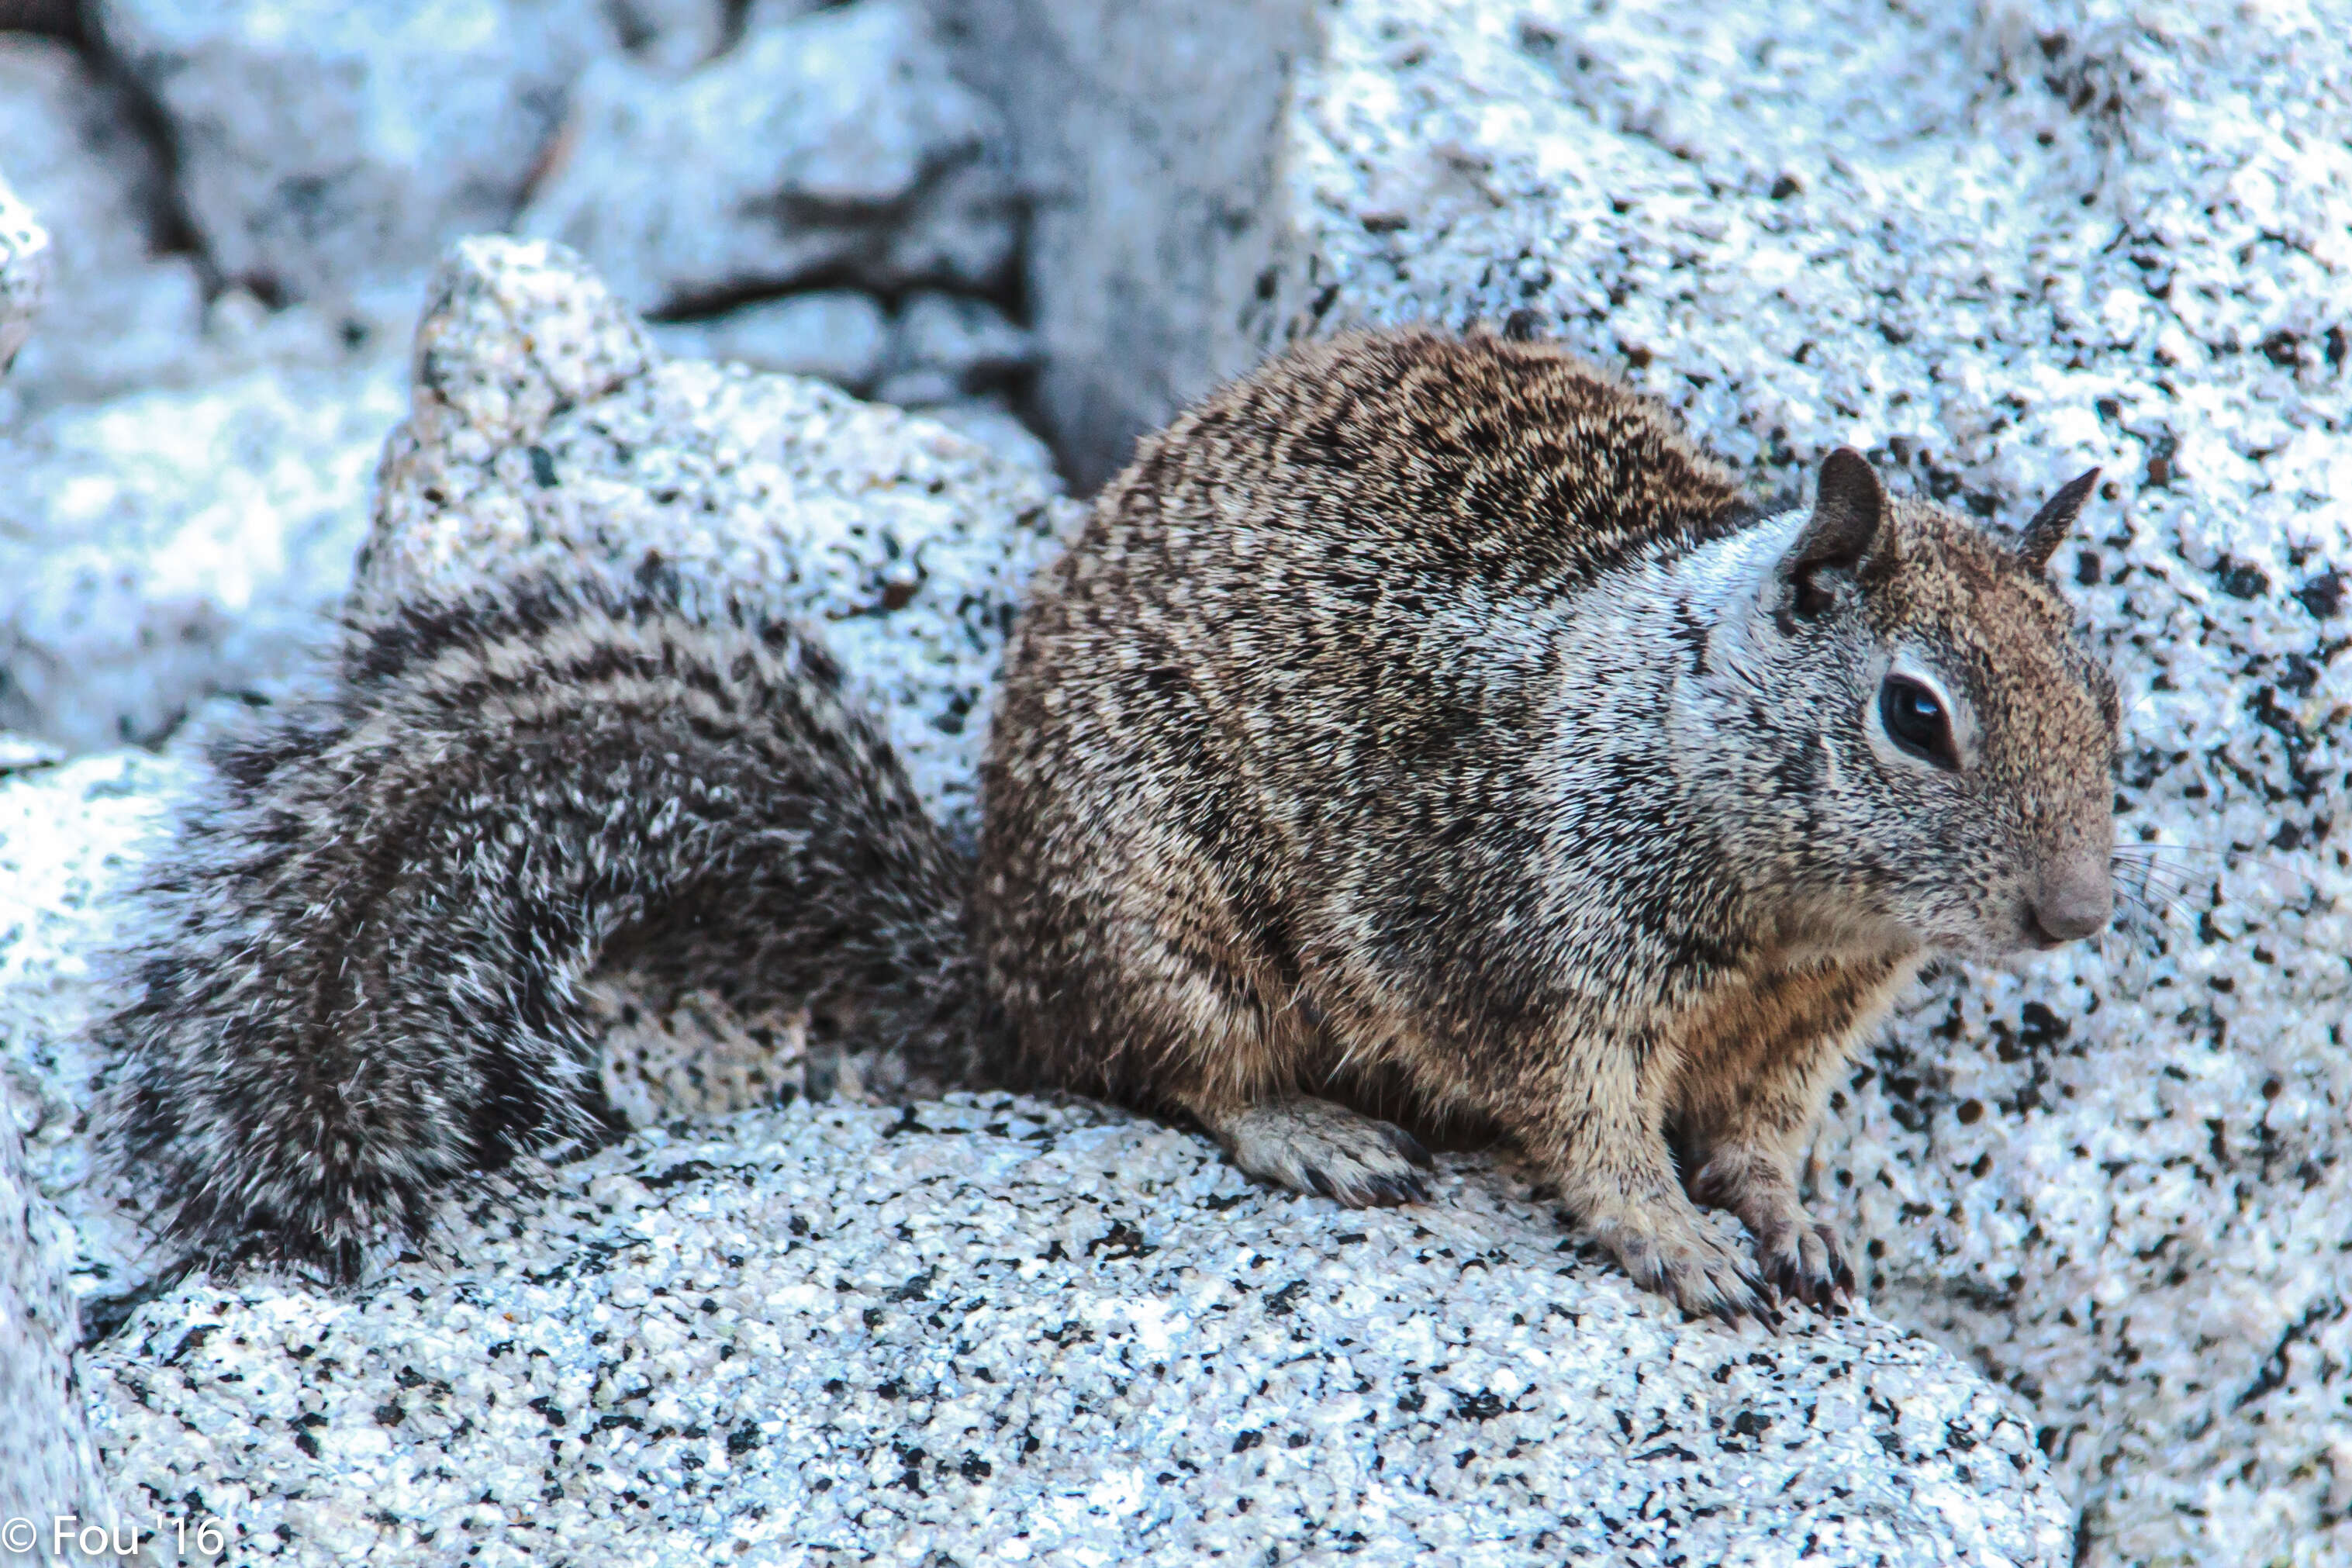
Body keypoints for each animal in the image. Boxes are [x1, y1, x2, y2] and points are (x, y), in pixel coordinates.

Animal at [96, 331, 2116, 1325]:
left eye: (2102, 693)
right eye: (1915, 716)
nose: (2081, 916)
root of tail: (996, 951)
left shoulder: (1796, 1032)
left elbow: (1765, 1140)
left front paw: (1793, 1225)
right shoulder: (1533, 953)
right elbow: (1590, 1132)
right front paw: (1677, 1244)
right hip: (1167, 931)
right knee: (1156, 1071)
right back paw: (1311, 1132)